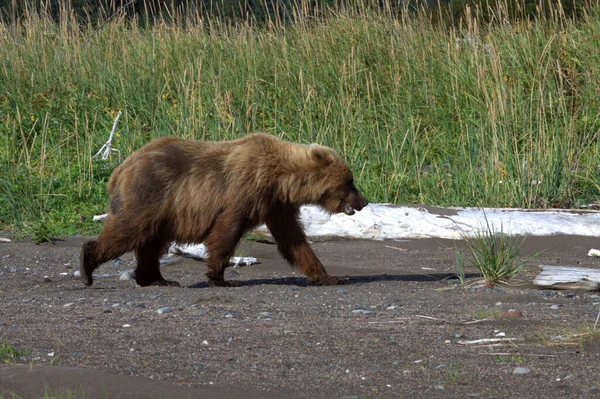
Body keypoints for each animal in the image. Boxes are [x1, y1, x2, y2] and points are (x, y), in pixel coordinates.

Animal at [80, 134, 368, 288]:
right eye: (350, 182)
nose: (363, 201)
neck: (282, 180)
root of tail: (120, 169)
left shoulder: (276, 205)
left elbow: (294, 241)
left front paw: (330, 276)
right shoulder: (246, 190)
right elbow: (227, 230)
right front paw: (220, 277)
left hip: (161, 210)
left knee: (151, 243)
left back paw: (157, 279)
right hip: (149, 194)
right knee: (128, 230)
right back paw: (87, 266)